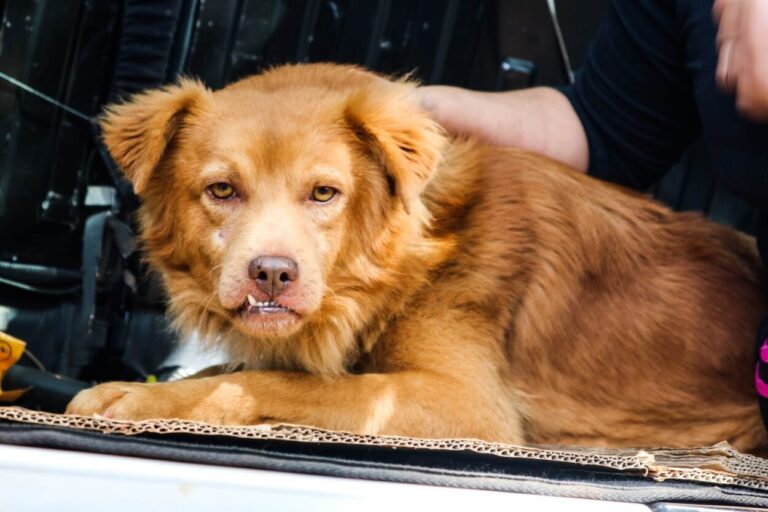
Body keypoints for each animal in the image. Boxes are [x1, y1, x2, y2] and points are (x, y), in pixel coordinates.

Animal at [67, 64, 768, 452]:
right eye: (221, 190)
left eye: (324, 193)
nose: (272, 274)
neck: (399, 267)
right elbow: (232, 371)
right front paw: (137, 389)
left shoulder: (467, 404)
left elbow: (274, 381)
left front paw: (140, 403)